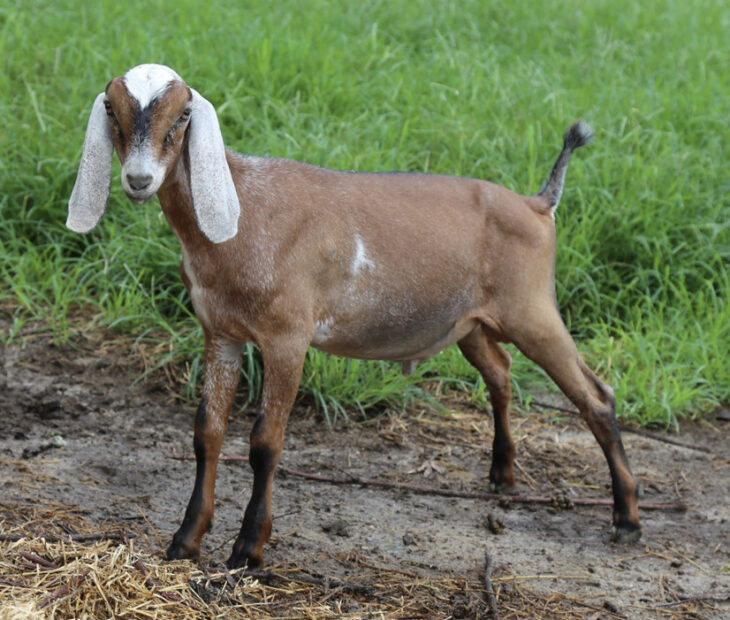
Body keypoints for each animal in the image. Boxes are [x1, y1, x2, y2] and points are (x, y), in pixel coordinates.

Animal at [67, 63, 641, 568]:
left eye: (184, 114)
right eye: (113, 110)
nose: (139, 179)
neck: (245, 212)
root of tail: (536, 204)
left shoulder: (287, 337)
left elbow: (265, 443)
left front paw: (248, 551)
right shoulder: (220, 332)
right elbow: (206, 432)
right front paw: (185, 542)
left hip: (533, 309)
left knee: (596, 396)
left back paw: (627, 517)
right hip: (469, 322)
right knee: (500, 372)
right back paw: (502, 475)